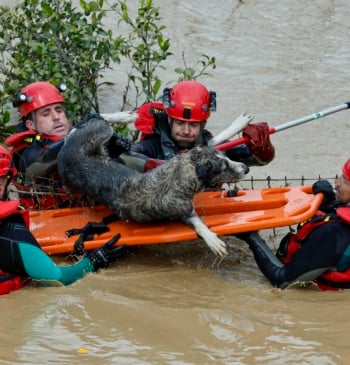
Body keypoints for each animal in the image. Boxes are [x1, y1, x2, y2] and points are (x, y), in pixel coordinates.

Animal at [57, 115, 249, 255]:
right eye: (223, 168)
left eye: (226, 158)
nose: (246, 168)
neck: (181, 172)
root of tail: (66, 156)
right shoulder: (182, 211)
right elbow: (199, 225)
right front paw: (213, 240)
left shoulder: (186, 154)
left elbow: (212, 141)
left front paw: (238, 124)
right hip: (98, 132)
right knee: (93, 121)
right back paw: (125, 115)